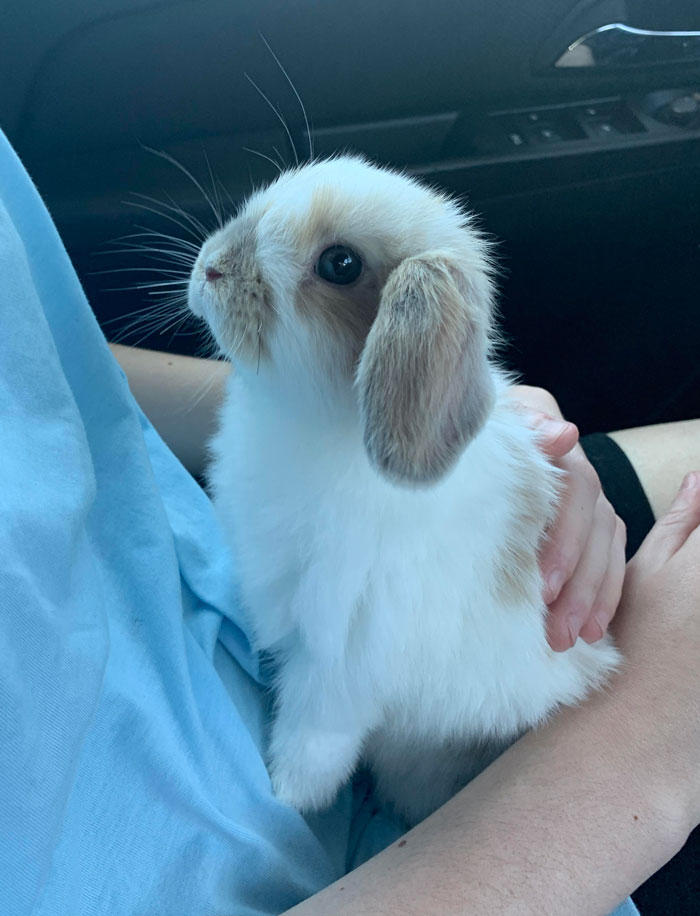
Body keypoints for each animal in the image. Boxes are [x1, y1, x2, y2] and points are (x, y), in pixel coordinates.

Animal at [188, 155, 620, 826]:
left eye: (340, 264)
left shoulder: (339, 665)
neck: (315, 424)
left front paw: (287, 800)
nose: (210, 267)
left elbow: (313, 746)